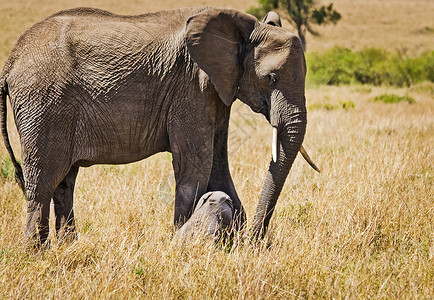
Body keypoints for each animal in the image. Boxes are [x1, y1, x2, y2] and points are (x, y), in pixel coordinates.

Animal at [0, 7, 316, 247]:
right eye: (271, 78)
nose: (255, 242)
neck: (244, 29)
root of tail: (11, 61)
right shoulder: (192, 86)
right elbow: (195, 166)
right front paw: (182, 242)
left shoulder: (216, 90)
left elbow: (217, 165)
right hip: (43, 103)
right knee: (42, 183)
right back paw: (37, 255)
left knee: (64, 182)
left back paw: (68, 248)